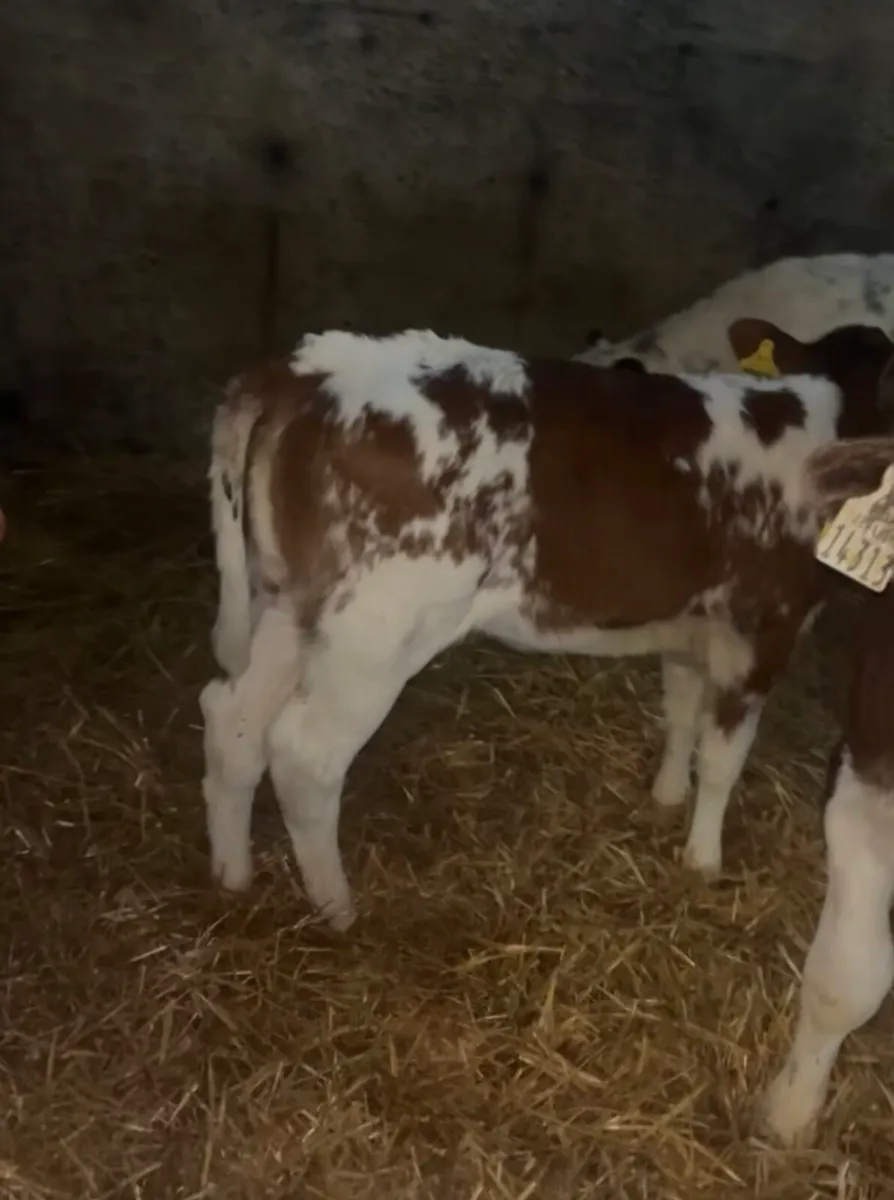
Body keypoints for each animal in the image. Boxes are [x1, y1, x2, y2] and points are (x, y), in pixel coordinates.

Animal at [199, 319, 894, 930]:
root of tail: (314, 369)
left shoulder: (693, 622)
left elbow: (681, 713)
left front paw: (667, 796)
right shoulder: (765, 629)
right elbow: (723, 756)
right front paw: (704, 859)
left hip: (286, 605)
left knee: (231, 718)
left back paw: (232, 875)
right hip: (373, 633)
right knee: (304, 753)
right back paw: (337, 908)